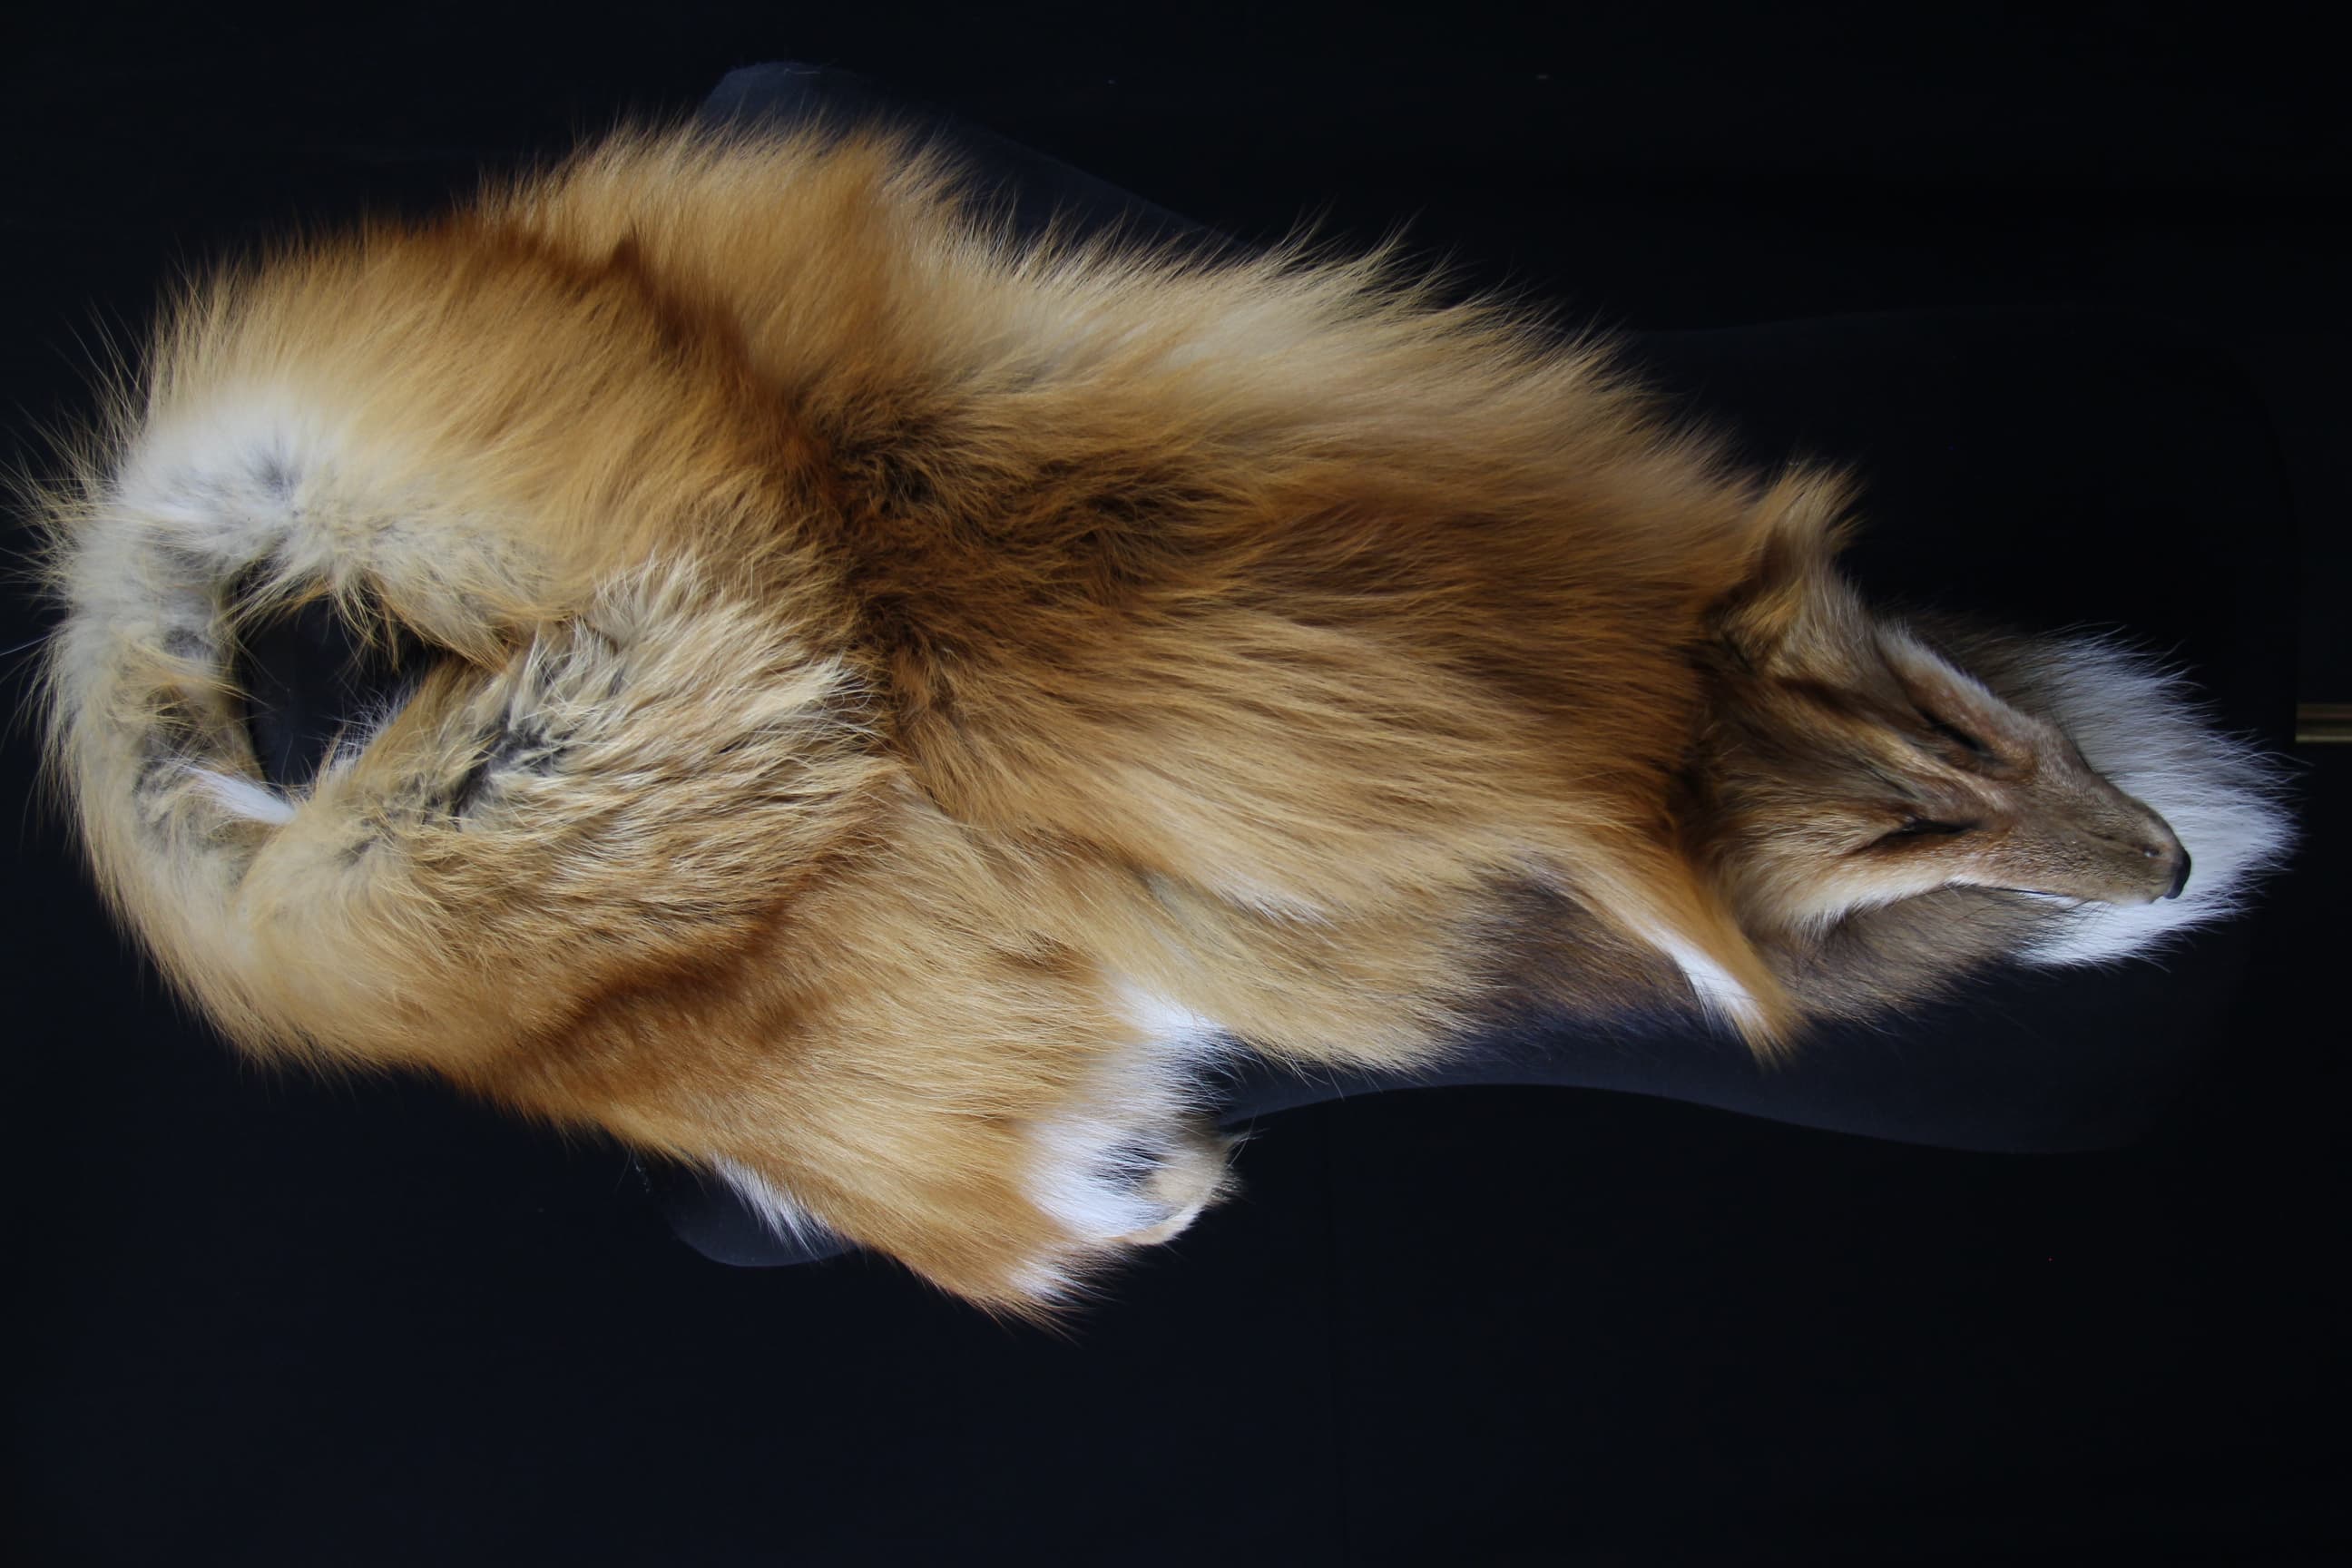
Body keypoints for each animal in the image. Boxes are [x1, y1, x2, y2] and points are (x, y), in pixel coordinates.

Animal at [32, 123, 2290, 1313]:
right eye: (1910, 821)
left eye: (1964, 747)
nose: (2173, 857)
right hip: (943, 1121)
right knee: (999, 1208)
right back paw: (1160, 1179)